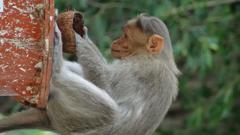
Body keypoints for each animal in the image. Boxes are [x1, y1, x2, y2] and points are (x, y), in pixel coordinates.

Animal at [0, 14, 179, 135]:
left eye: (126, 36)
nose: (116, 42)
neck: (158, 57)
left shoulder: (141, 68)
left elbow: (106, 85)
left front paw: (79, 35)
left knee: (109, 110)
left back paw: (56, 68)